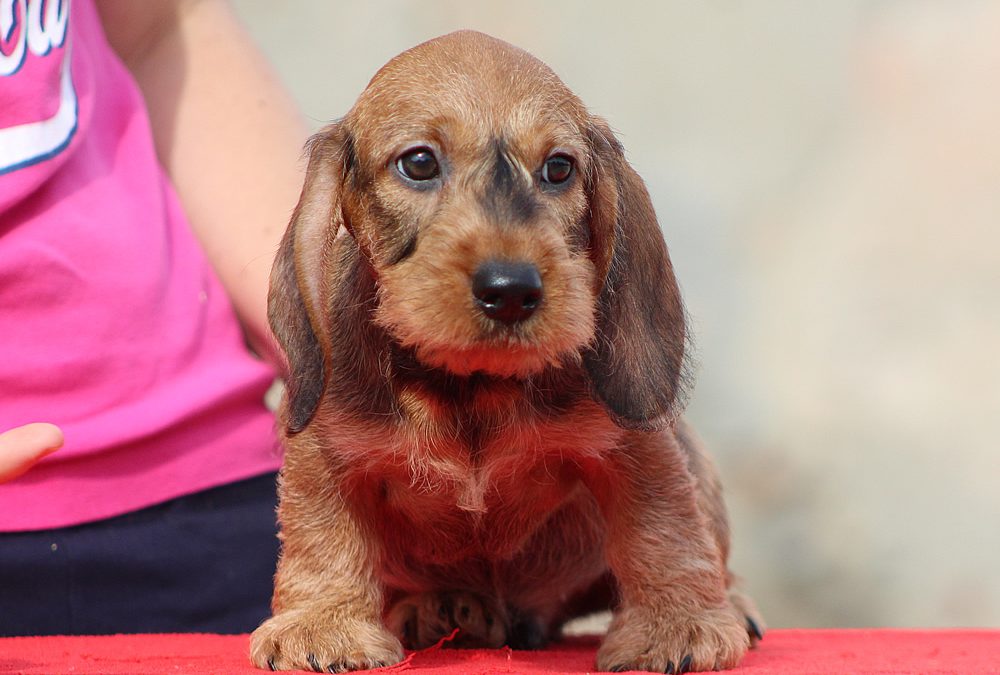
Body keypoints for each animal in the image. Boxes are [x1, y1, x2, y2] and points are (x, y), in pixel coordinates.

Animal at [252, 29, 764, 672]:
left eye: (558, 168)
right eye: (419, 162)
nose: (512, 290)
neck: (471, 386)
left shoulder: (636, 448)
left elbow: (663, 528)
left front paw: (676, 625)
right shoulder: (326, 454)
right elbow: (323, 536)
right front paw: (322, 625)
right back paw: (442, 605)